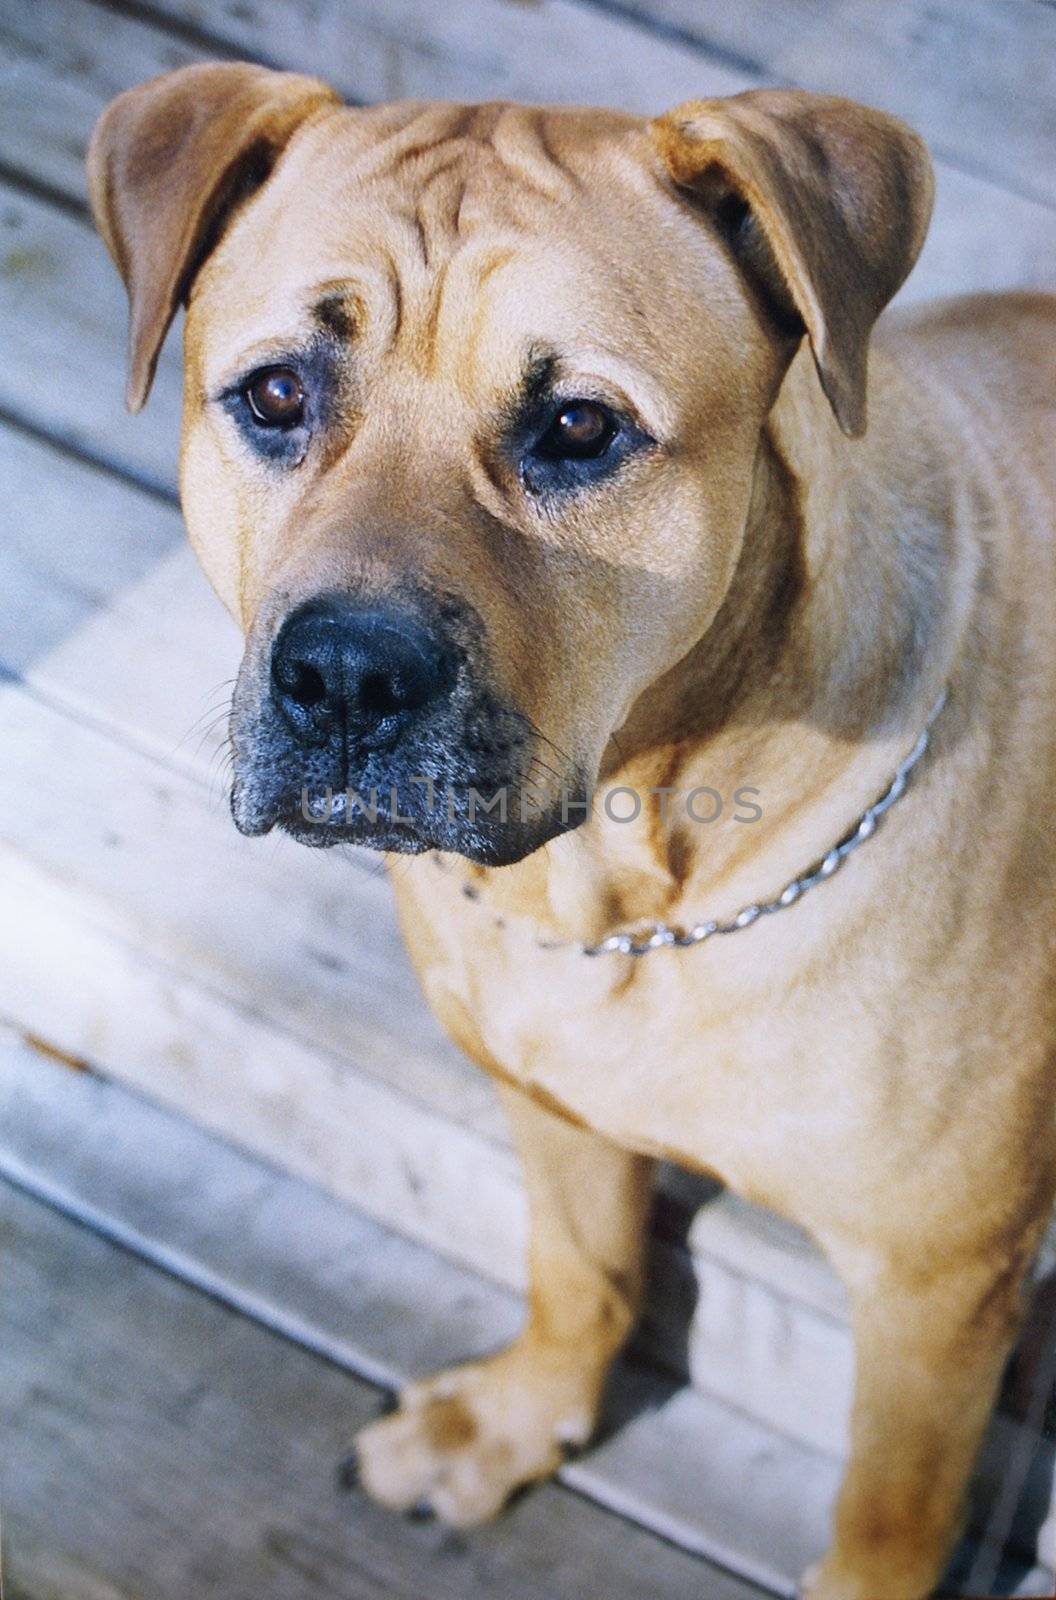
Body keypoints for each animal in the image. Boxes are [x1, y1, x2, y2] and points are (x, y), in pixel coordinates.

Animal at [88, 65, 1056, 1600]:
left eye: (581, 429)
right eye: (278, 394)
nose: (344, 676)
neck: (632, 885)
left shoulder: (936, 1286)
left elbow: (890, 1510)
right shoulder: (545, 1099)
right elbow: (580, 1270)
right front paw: (515, 1420)